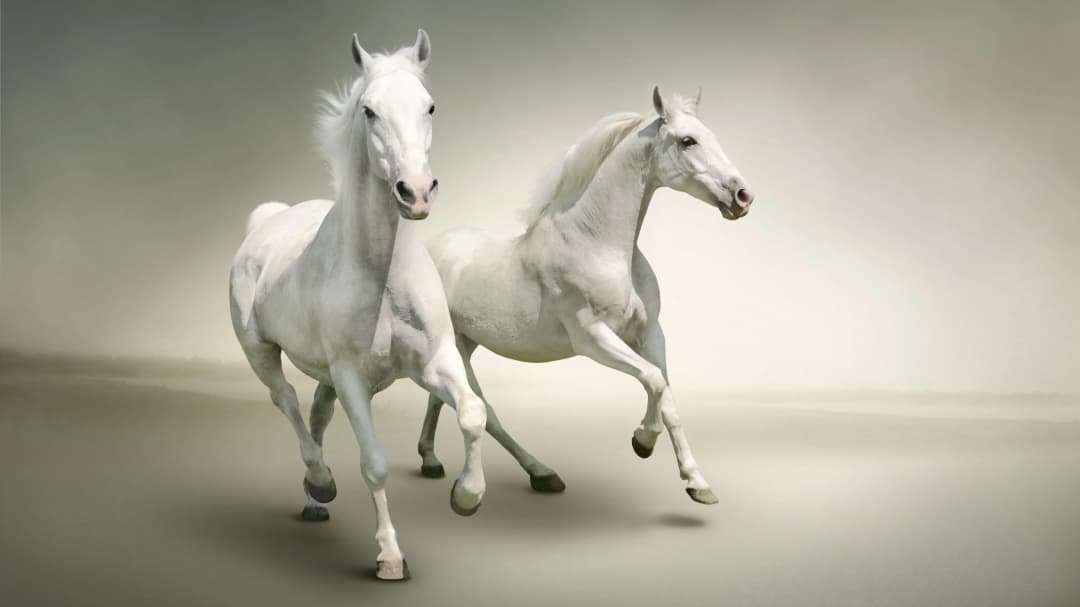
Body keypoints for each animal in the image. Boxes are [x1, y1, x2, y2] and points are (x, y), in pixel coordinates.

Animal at [229, 30, 487, 581]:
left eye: (430, 105)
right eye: (369, 111)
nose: (416, 192)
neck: (382, 275)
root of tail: (267, 220)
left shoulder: (434, 361)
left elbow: (473, 412)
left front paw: (466, 496)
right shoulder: (352, 378)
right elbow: (375, 464)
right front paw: (390, 557)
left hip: (324, 374)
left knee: (316, 413)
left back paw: (314, 500)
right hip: (260, 352)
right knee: (285, 400)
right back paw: (320, 481)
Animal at [416, 87, 755, 505]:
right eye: (688, 140)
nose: (743, 196)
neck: (597, 244)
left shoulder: (650, 333)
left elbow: (667, 395)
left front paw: (697, 483)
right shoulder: (592, 338)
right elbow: (654, 381)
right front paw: (643, 441)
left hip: (464, 343)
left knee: (441, 398)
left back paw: (433, 461)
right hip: (456, 348)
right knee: (483, 410)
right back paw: (535, 474)